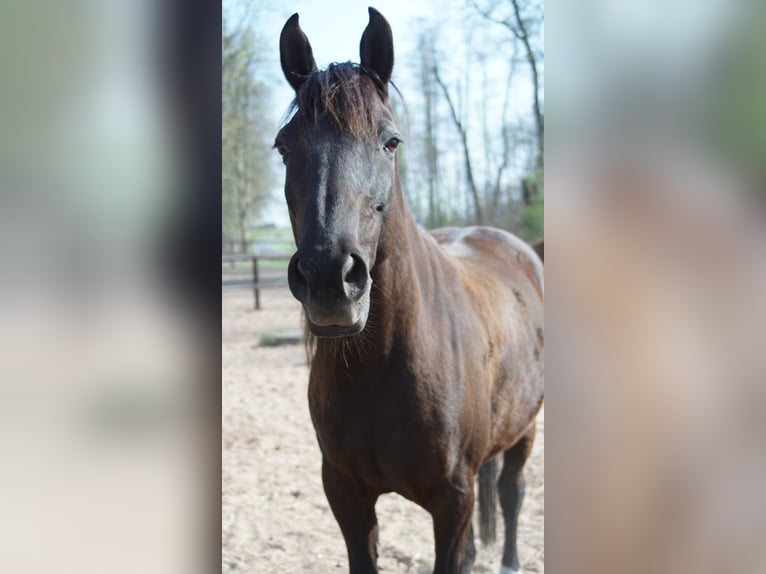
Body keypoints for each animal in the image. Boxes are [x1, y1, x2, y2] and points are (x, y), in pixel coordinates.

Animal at [275, 8, 544, 574]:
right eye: (284, 146)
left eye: (390, 141)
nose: (330, 278)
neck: (382, 365)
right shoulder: (346, 496)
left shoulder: (453, 500)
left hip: (525, 429)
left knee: (512, 492)